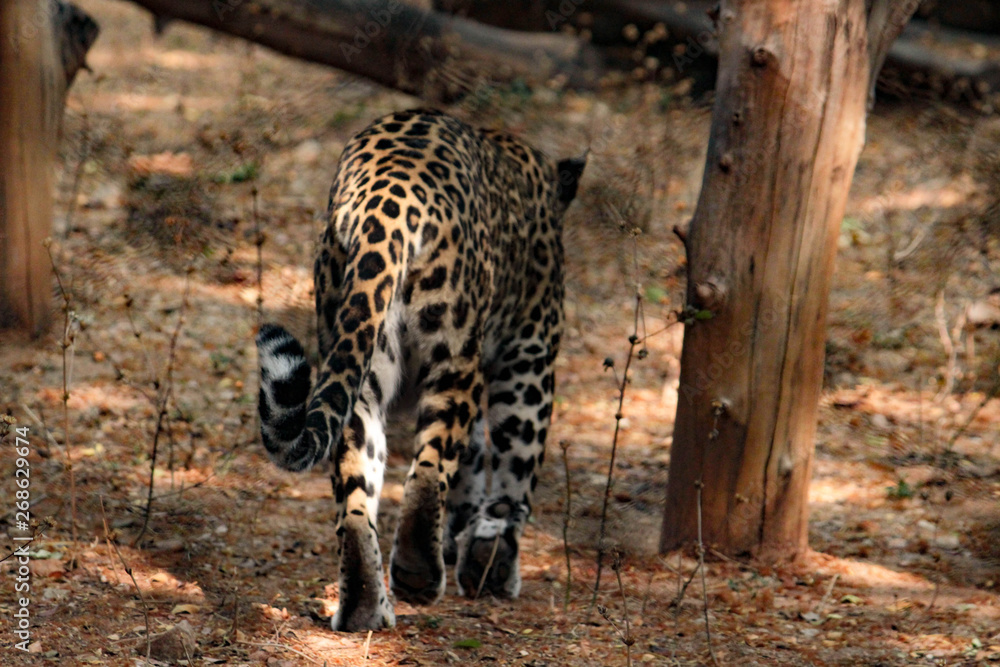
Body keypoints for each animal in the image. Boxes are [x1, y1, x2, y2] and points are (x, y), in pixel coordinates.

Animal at [256, 109, 585, 632]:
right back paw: (418, 569)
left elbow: (473, 465)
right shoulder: (531, 353)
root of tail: (386, 198)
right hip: (455, 353)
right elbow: (511, 476)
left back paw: (366, 604)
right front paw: (492, 562)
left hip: (360, 357)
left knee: (356, 489)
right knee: (431, 466)